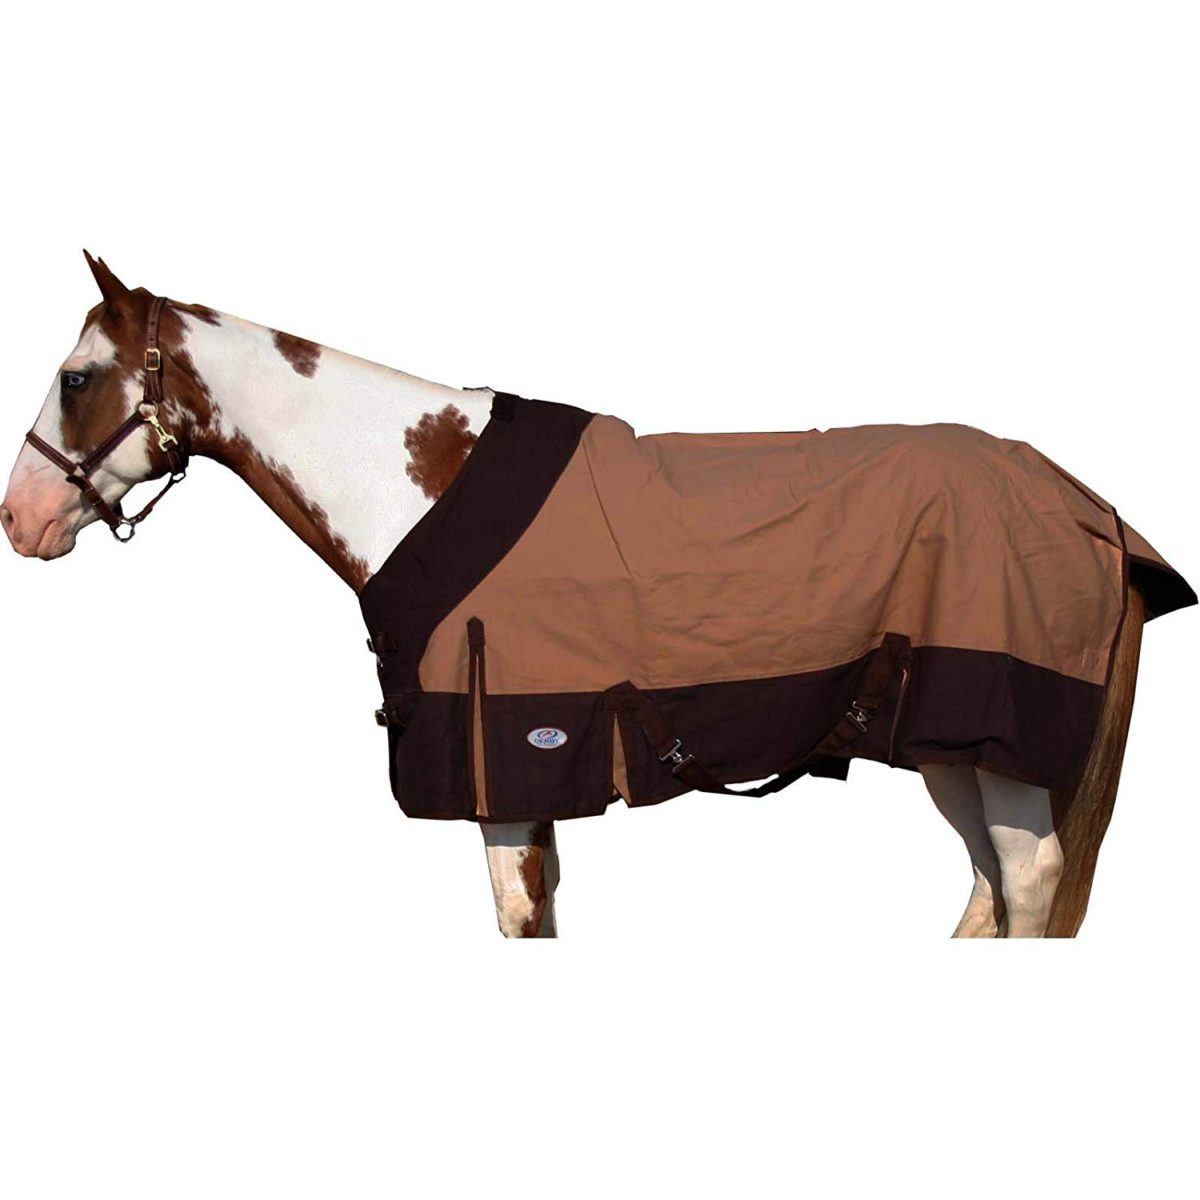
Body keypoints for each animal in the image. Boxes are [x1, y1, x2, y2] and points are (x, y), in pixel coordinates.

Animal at [3, 253, 1193, 938]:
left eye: (75, 378)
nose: (20, 519)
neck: (417, 487)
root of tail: (1091, 509)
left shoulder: (506, 771)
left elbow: (517, 920)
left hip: (1002, 746)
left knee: (1029, 887)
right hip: (947, 746)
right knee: (990, 891)